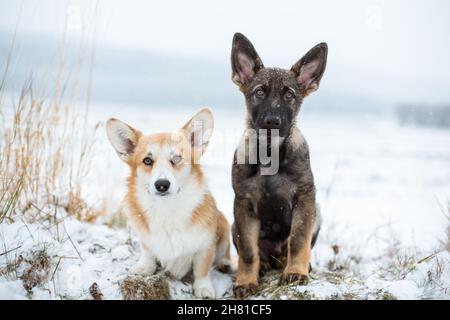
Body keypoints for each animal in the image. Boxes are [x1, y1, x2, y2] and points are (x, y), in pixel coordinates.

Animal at [106, 109, 230, 298]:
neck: (167, 208)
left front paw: (203, 288)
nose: (162, 185)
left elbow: (202, 269)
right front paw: (145, 268)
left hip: (223, 225)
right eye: (147, 161)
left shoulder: (205, 245)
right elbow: (148, 252)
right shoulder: (145, 239)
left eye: (177, 158)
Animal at [232, 32, 326, 298]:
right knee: (258, 254)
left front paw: (296, 272)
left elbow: (298, 240)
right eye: (259, 92)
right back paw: (263, 265)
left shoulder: (305, 198)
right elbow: (248, 251)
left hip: (318, 214)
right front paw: (245, 281)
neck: (269, 153)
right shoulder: (242, 205)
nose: (272, 121)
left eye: (289, 95)